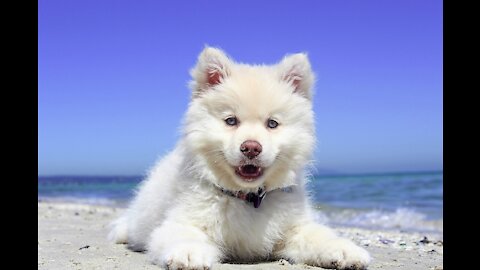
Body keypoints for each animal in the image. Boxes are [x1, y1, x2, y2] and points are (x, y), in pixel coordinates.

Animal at [109, 47, 372, 268]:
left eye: (272, 124)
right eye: (231, 121)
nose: (251, 148)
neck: (248, 198)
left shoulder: (294, 228)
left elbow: (318, 235)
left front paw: (344, 249)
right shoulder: (182, 220)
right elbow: (183, 234)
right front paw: (189, 253)